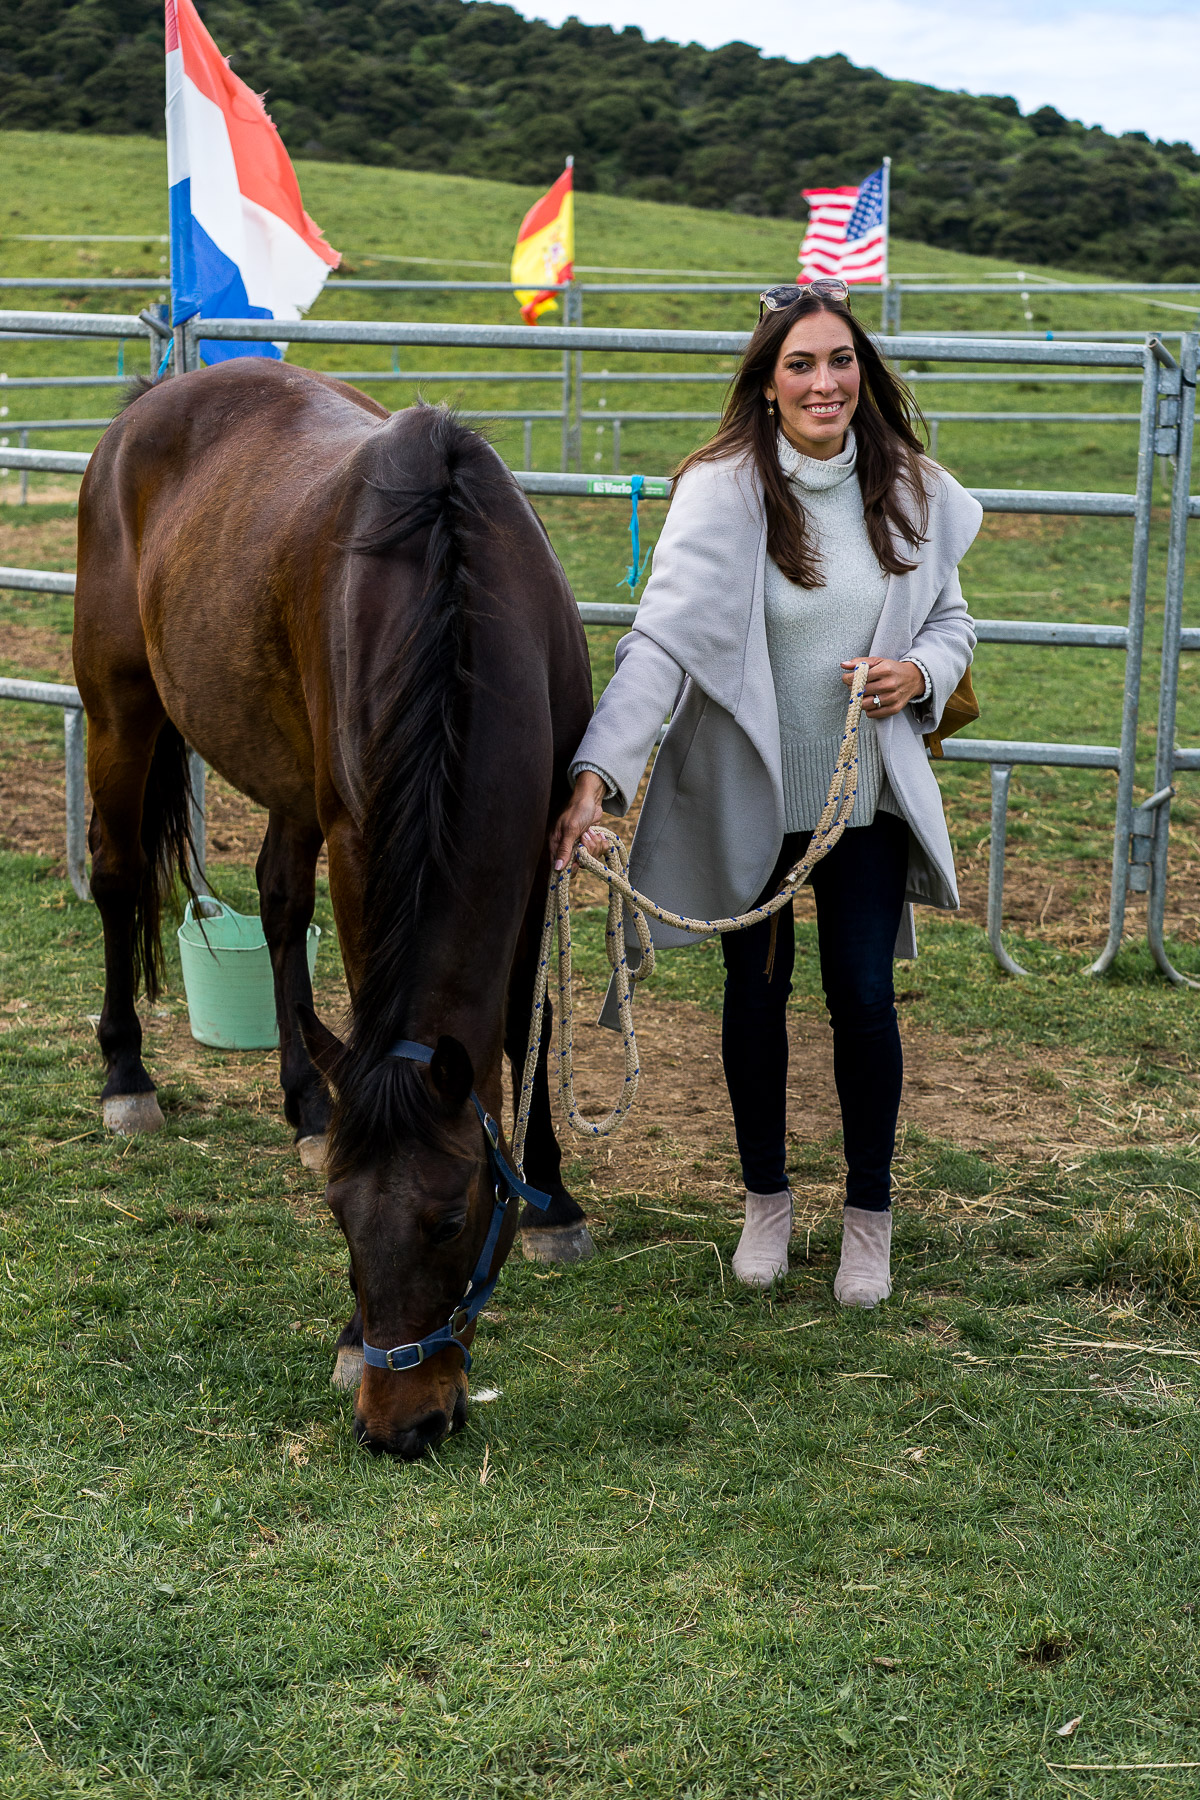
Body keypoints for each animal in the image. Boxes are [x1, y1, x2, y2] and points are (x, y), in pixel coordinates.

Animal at [73, 361, 597, 1461]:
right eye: (340, 1219)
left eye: (451, 1219)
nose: (401, 1426)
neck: (457, 596)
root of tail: (149, 404)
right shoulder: (364, 844)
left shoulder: (544, 840)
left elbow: (529, 1018)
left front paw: (554, 1196)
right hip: (119, 708)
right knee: (115, 877)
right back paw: (126, 1077)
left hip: (283, 772)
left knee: (276, 901)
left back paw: (308, 1100)